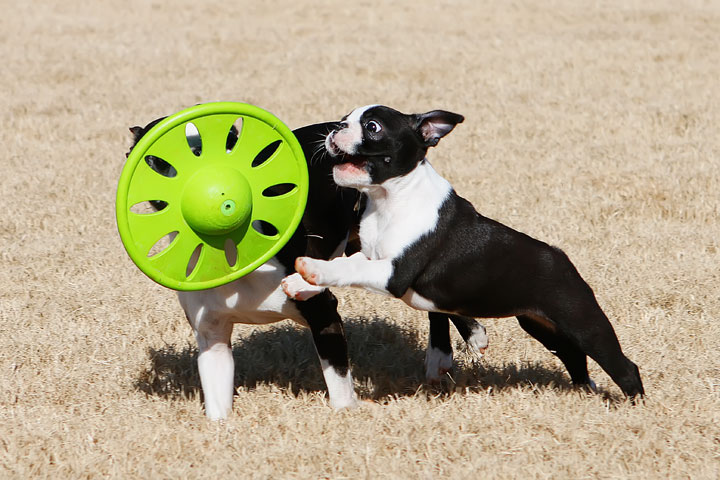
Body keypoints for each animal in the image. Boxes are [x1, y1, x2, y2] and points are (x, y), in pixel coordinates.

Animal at [128, 114, 490, 418]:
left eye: (228, 143)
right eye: (157, 161)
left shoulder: (323, 312)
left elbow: (339, 382)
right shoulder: (211, 337)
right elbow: (218, 402)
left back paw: (450, 350)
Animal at [292, 106, 648, 402]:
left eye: (372, 126)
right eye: (345, 118)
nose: (338, 126)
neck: (389, 197)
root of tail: (561, 258)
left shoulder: (395, 272)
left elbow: (350, 270)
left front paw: (310, 269)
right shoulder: (370, 255)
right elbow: (344, 264)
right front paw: (302, 283)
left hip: (582, 321)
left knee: (622, 364)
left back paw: (634, 406)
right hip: (541, 324)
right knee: (572, 355)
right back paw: (585, 391)